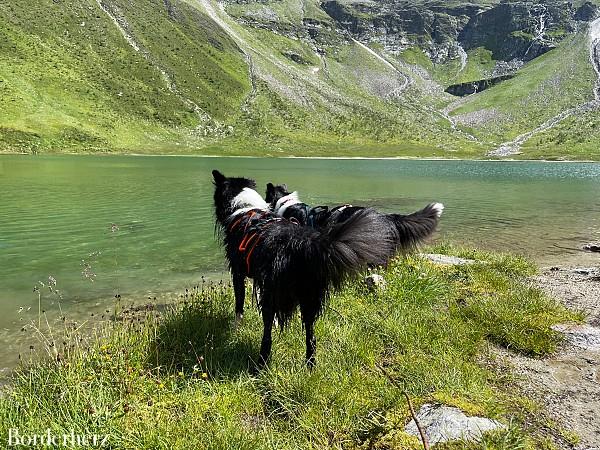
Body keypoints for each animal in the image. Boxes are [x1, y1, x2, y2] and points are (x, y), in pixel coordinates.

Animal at [211, 171, 398, 368]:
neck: (245, 207)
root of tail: (300, 244)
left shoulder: (239, 273)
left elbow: (239, 306)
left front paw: (235, 330)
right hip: (309, 297)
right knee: (311, 337)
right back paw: (310, 365)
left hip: (281, 295)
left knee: (267, 336)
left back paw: (260, 365)